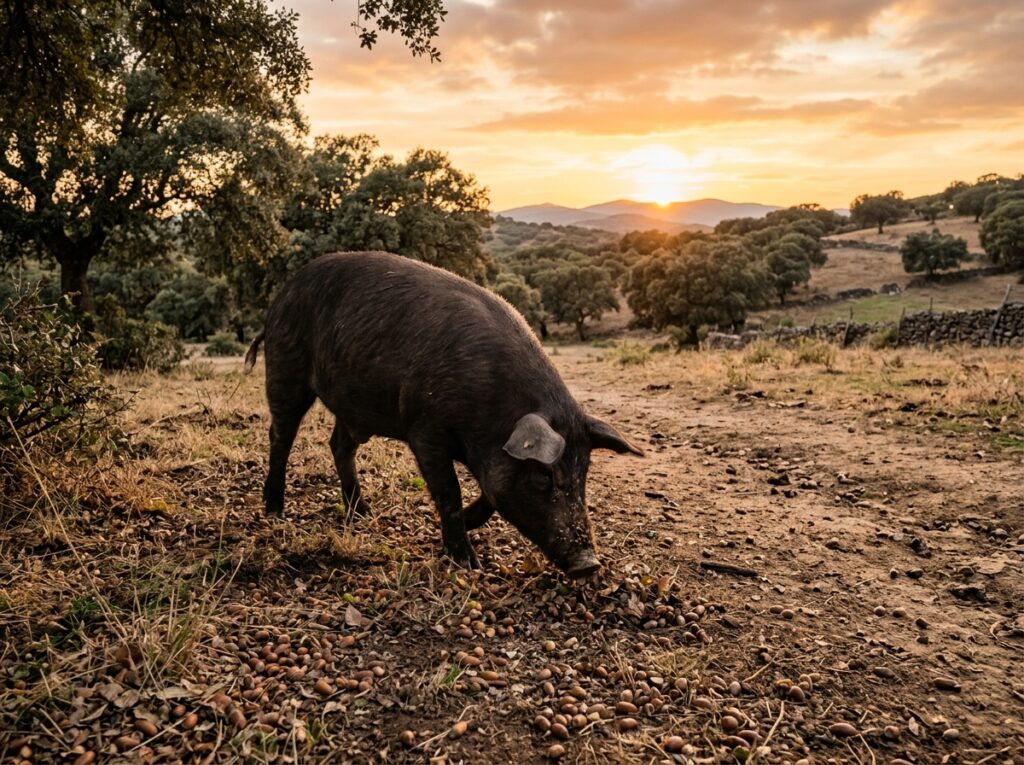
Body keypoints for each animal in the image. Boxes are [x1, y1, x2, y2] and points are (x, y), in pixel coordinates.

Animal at [245, 251, 642, 578]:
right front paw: (468, 563)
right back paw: (275, 511)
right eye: (544, 476)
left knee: (338, 444)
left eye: (583, 473)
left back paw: (362, 514)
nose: (589, 564)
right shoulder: (425, 430)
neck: (490, 411)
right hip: (286, 369)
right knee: (280, 436)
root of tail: (277, 301)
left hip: (355, 406)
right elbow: (449, 491)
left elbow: (491, 493)